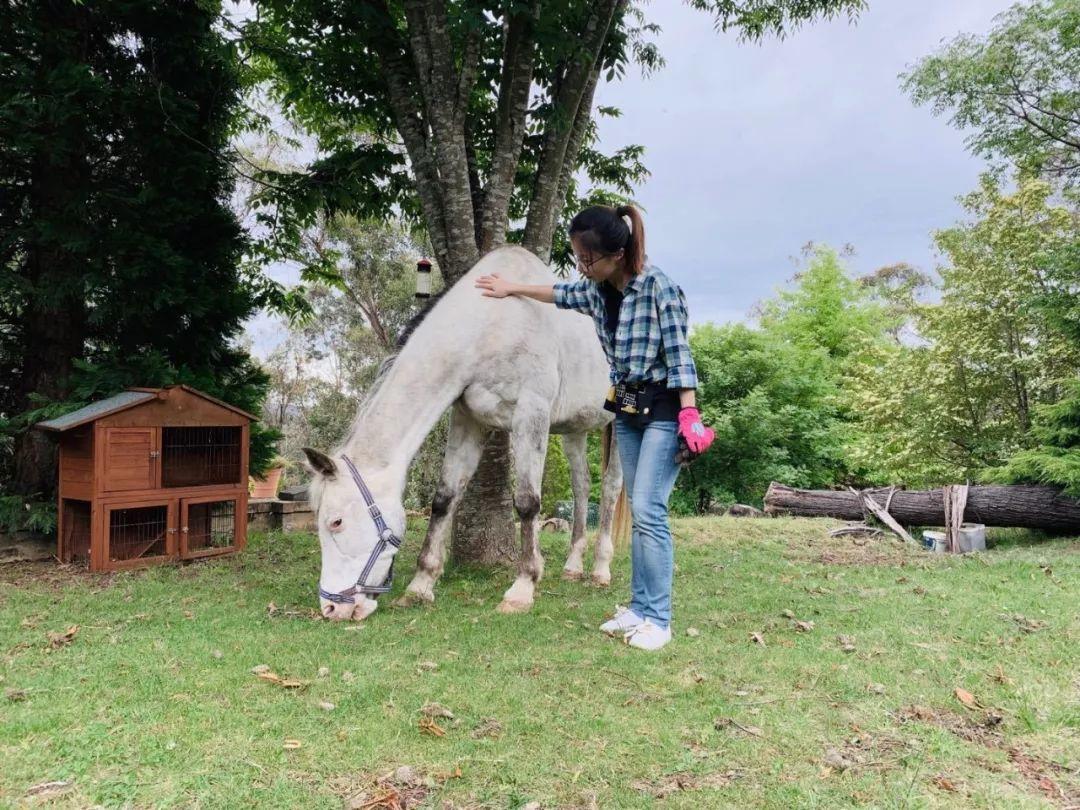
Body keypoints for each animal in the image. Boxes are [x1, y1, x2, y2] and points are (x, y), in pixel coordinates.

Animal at [304, 246, 626, 622]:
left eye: (336, 522)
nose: (331, 607)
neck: (489, 326)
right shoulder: (468, 420)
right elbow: (444, 498)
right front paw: (421, 585)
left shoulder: (530, 415)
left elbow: (527, 502)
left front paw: (523, 586)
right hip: (575, 429)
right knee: (582, 486)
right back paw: (574, 565)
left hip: (618, 425)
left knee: (610, 488)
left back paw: (600, 569)